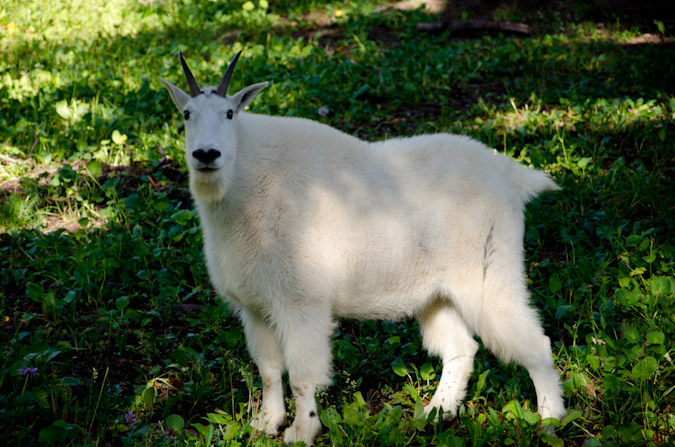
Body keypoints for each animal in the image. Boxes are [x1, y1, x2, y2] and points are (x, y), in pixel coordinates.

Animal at [161, 51, 568, 444]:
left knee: (536, 344)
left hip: (489, 275)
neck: (245, 182)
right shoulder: (256, 307)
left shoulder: (301, 301)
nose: (206, 154)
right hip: (440, 294)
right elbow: (269, 370)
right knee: (460, 348)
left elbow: (302, 375)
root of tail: (512, 178)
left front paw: (302, 432)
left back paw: (549, 421)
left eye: (229, 113)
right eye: (186, 114)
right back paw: (435, 415)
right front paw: (266, 424)